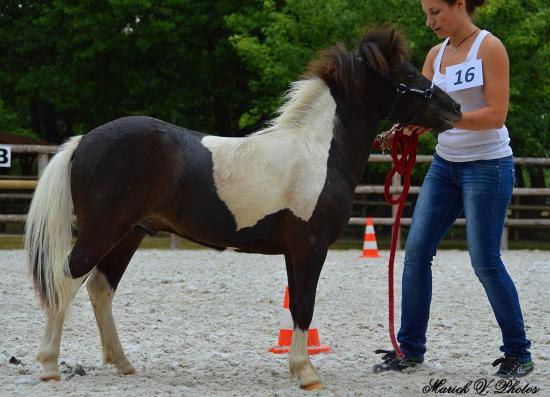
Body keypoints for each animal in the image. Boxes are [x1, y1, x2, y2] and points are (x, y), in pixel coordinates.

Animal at [28, 27, 464, 390]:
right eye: (408, 75)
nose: (455, 108)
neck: (318, 153)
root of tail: (84, 141)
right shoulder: (310, 246)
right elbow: (303, 305)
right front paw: (306, 373)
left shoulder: (297, 250)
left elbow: (299, 304)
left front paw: (299, 368)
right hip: (103, 231)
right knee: (66, 279)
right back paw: (49, 366)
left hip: (130, 234)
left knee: (101, 288)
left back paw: (122, 363)